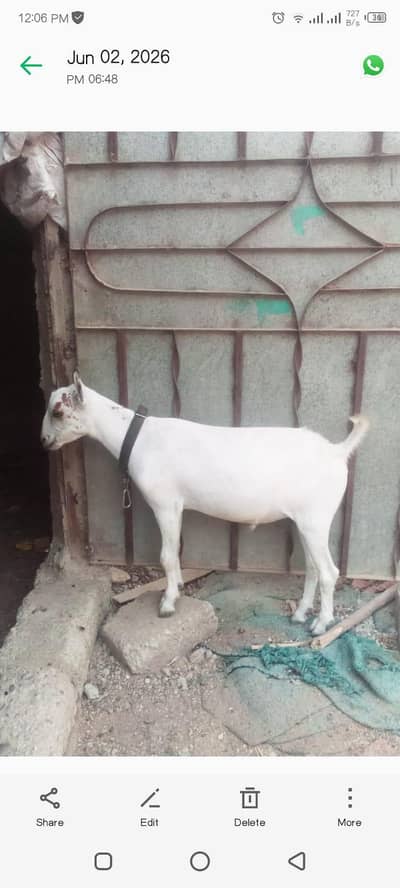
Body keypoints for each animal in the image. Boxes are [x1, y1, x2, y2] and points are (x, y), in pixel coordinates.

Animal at [41, 372, 369, 634]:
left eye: (57, 411)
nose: (43, 441)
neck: (137, 437)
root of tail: (338, 452)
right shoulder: (176, 507)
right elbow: (174, 551)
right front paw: (178, 589)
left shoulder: (164, 504)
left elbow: (166, 555)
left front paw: (168, 603)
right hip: (306, 520)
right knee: (313, 568)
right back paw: (300, 614)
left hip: (316, 518)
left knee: (329, 572)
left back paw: (321, 624)